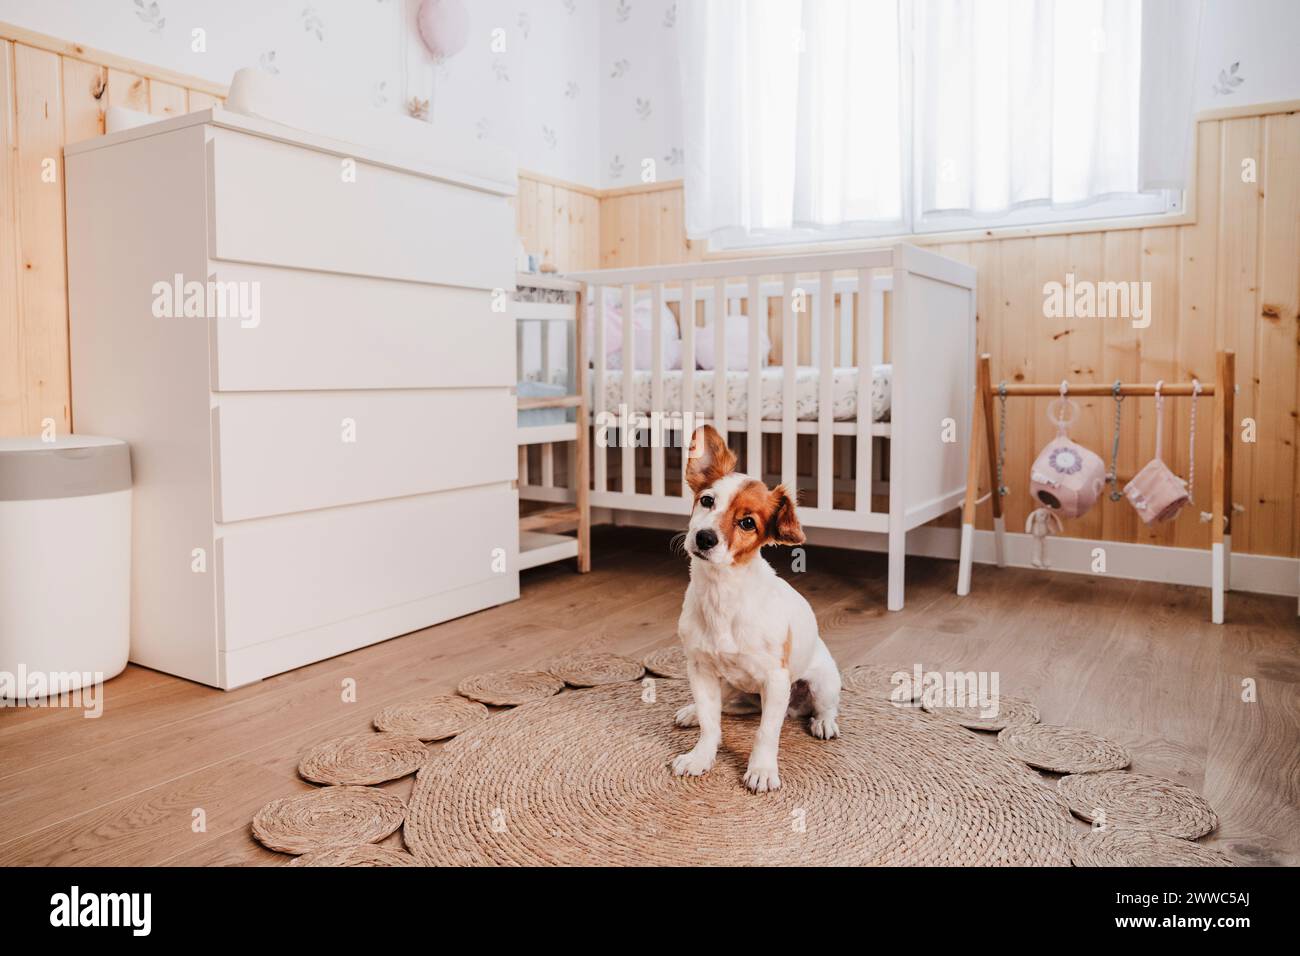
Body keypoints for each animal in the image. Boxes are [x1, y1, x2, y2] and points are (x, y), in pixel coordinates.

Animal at [670, 426, 842, 790]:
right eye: (707, 500)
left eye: (748, 523)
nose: (705, 538)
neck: (721, 594)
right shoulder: (700, 670)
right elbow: (710, 724)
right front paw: (700, 757)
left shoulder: (775, 681)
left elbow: (766, 733)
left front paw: (762, 770)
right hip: (731, 686)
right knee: (723, 708)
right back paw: (691, 711)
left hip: (822, 684)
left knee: (825, 708)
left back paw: (823, 723)